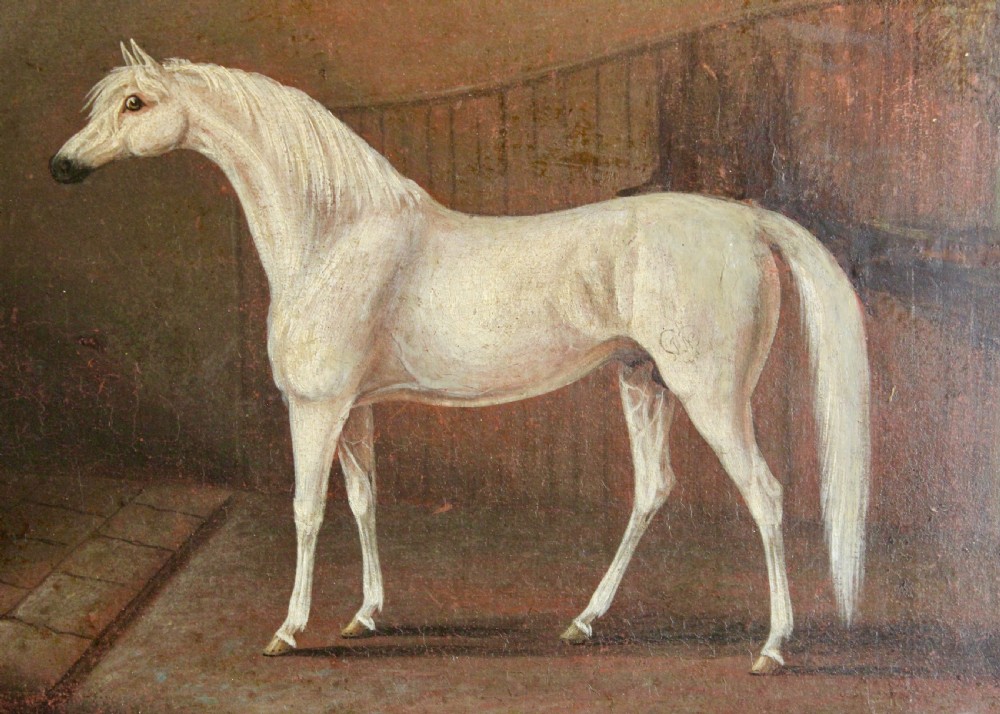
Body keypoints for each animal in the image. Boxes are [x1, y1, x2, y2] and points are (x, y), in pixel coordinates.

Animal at [51, 41, 870, 675]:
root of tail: (745, 219)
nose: (62, 166)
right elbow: (364, 501)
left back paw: (771, 647)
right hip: (643, 381)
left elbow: (308, 511)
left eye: (134, 103)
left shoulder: (315, 409)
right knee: (652, 488)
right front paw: (365, 615)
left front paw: (288, 630)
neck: (334, 238)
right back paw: (584, 621)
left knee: (765, 495)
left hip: (711, 395)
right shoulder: (355, 411)